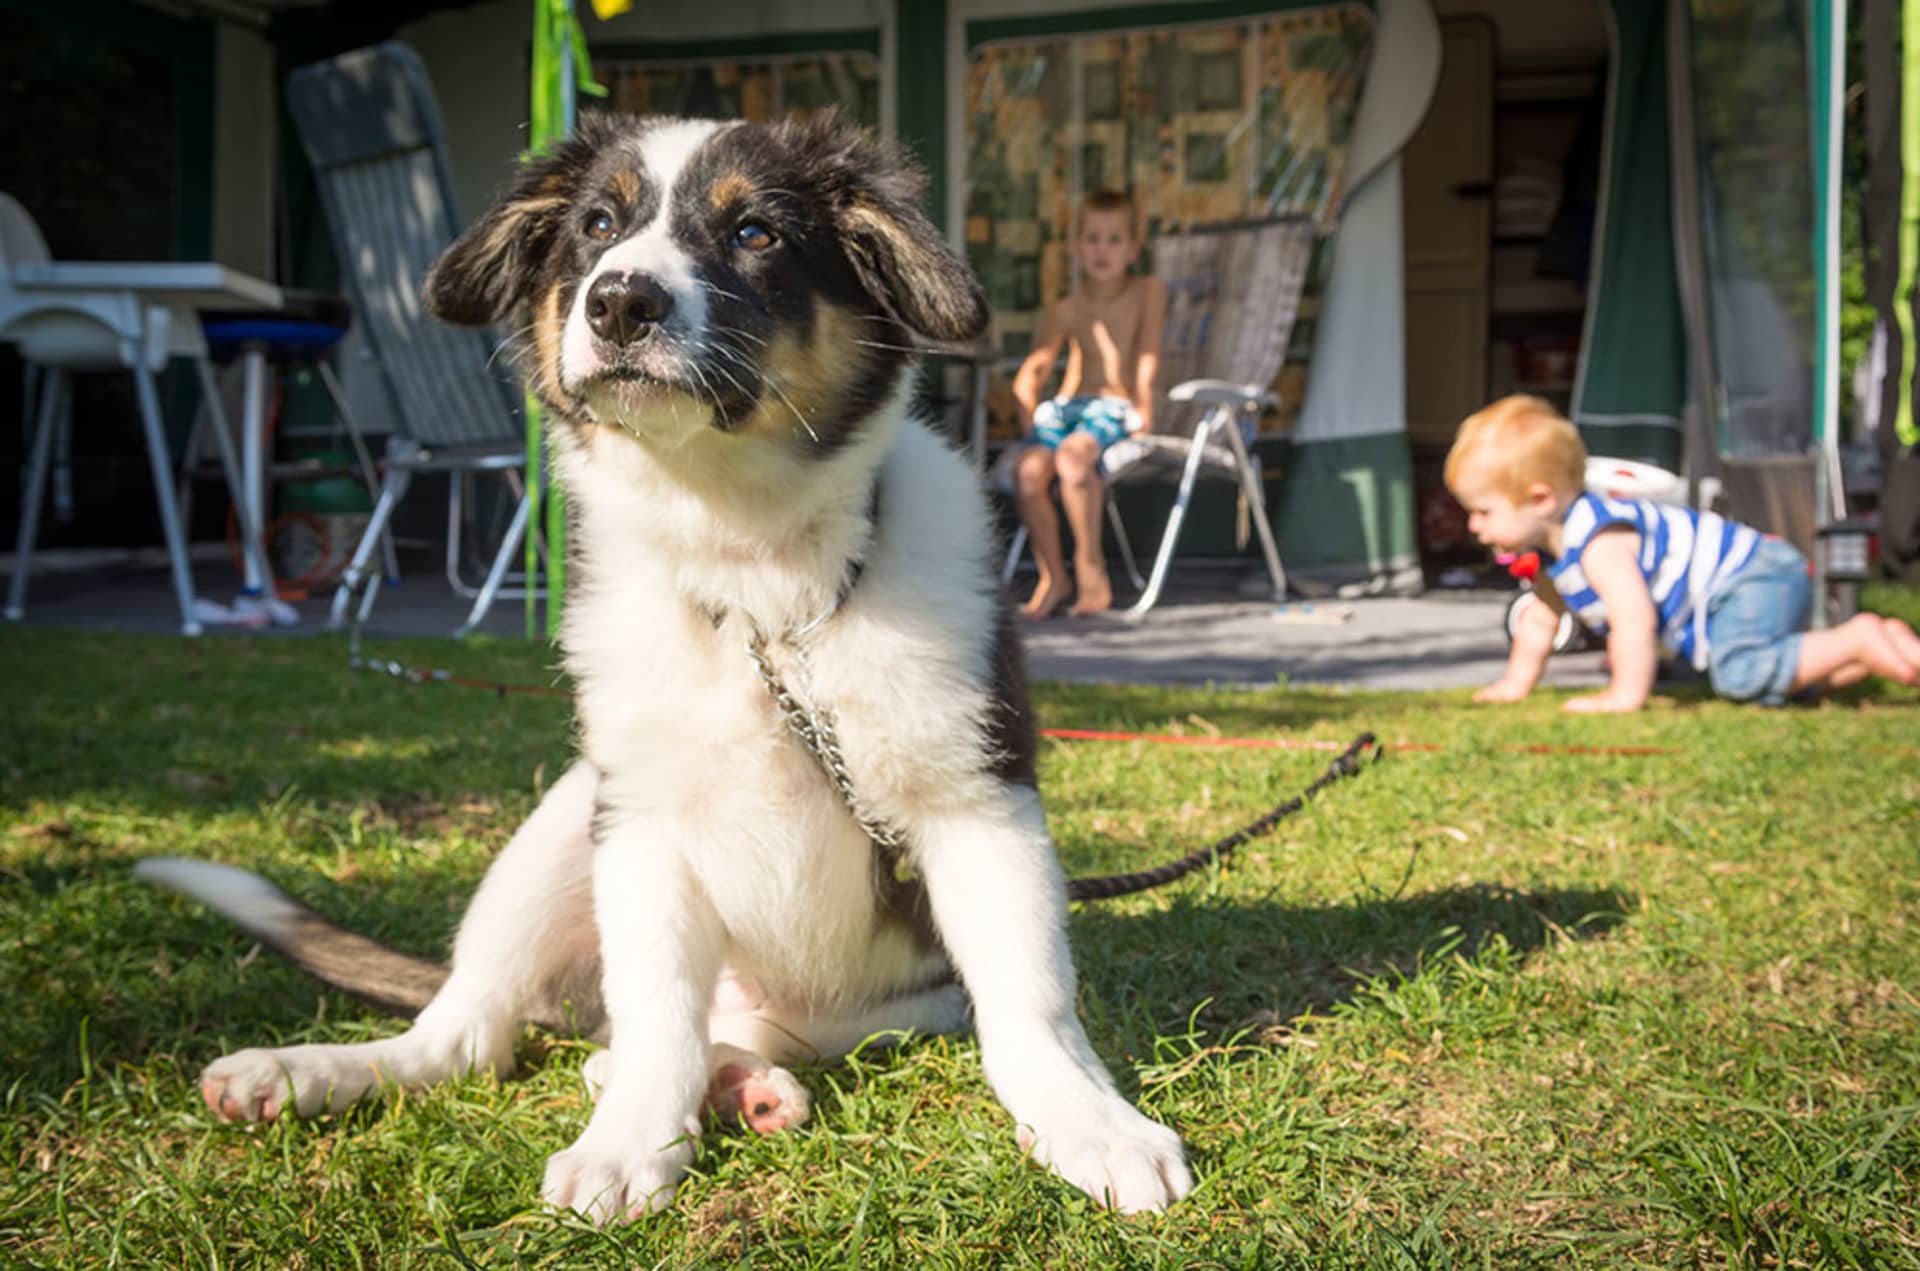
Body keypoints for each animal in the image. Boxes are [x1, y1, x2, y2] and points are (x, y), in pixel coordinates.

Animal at [135, 109, 1190, 1228]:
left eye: (756, 232)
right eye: (598, 225)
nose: (619, 301)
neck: (753, 569)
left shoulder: (979, 800)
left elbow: (1032, 1003)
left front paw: (1092, 1124)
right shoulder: (640, 819)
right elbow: (655, 1014)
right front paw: (630, 1140)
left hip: (883, 1003)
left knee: (715, 1033)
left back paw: (750, 1084)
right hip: (563, 819)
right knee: (477, 1032)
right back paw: (315, 1070)